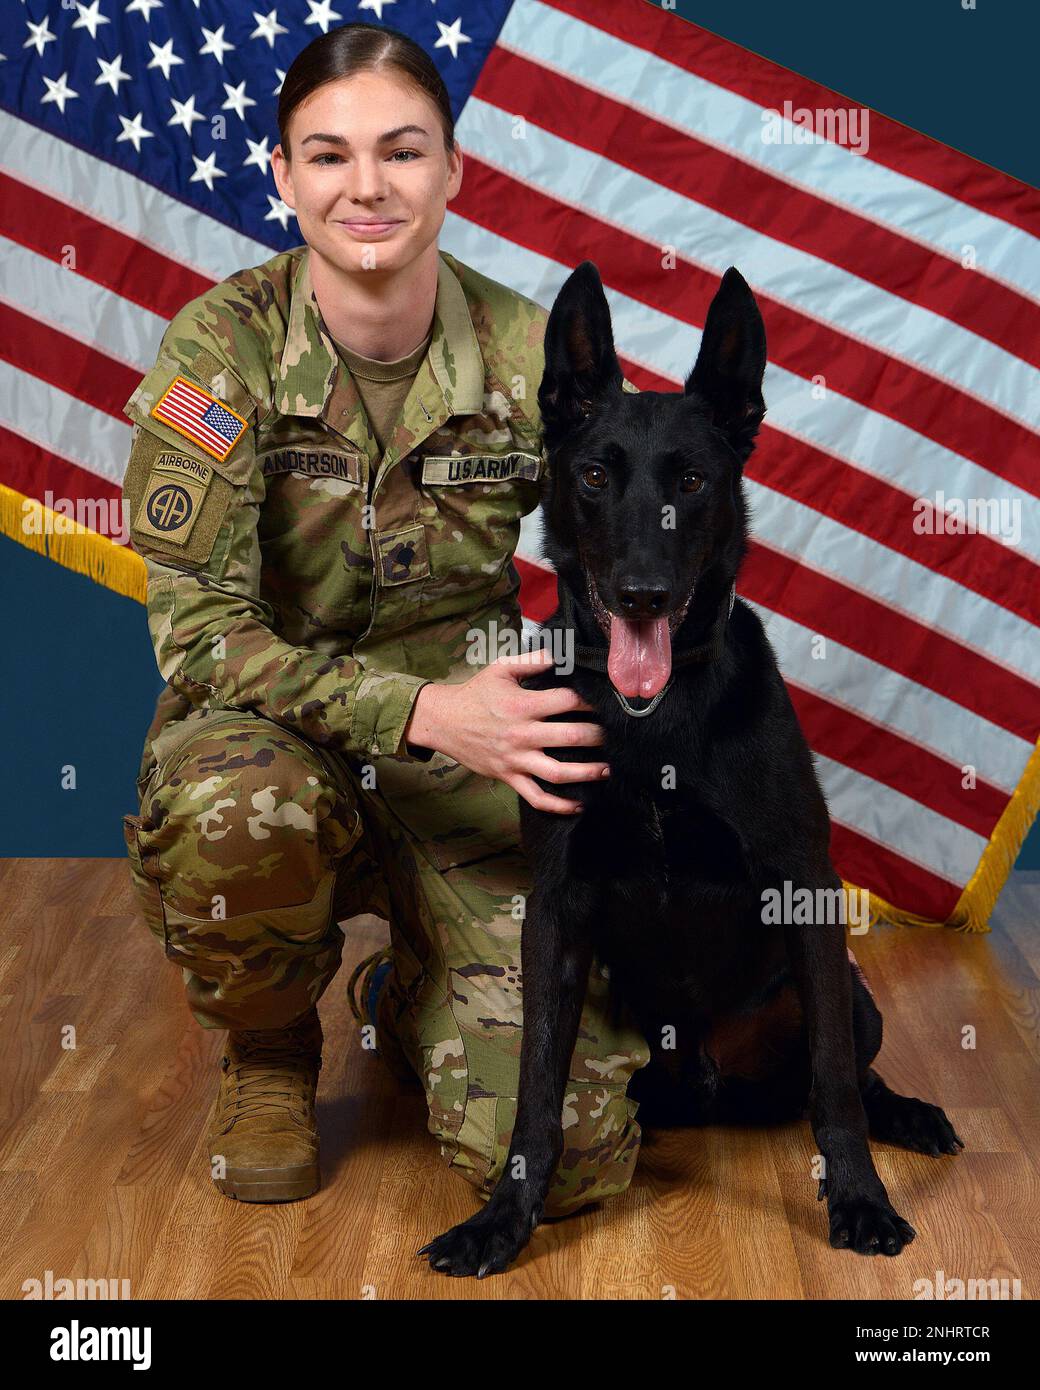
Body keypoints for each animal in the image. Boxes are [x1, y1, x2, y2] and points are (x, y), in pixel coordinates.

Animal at [417, 262, 962, 1278]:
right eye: (594, 476)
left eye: (696, 481)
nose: (642, 594)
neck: (656, 725)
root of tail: (708, 1076)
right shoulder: (557, 909)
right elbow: (539, 1090)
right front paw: (501, 1221)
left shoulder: (805, 884)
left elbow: (834, 1083)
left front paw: (860, 1200)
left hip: (847, 990)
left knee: (848, 1071)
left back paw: (906, 1114)